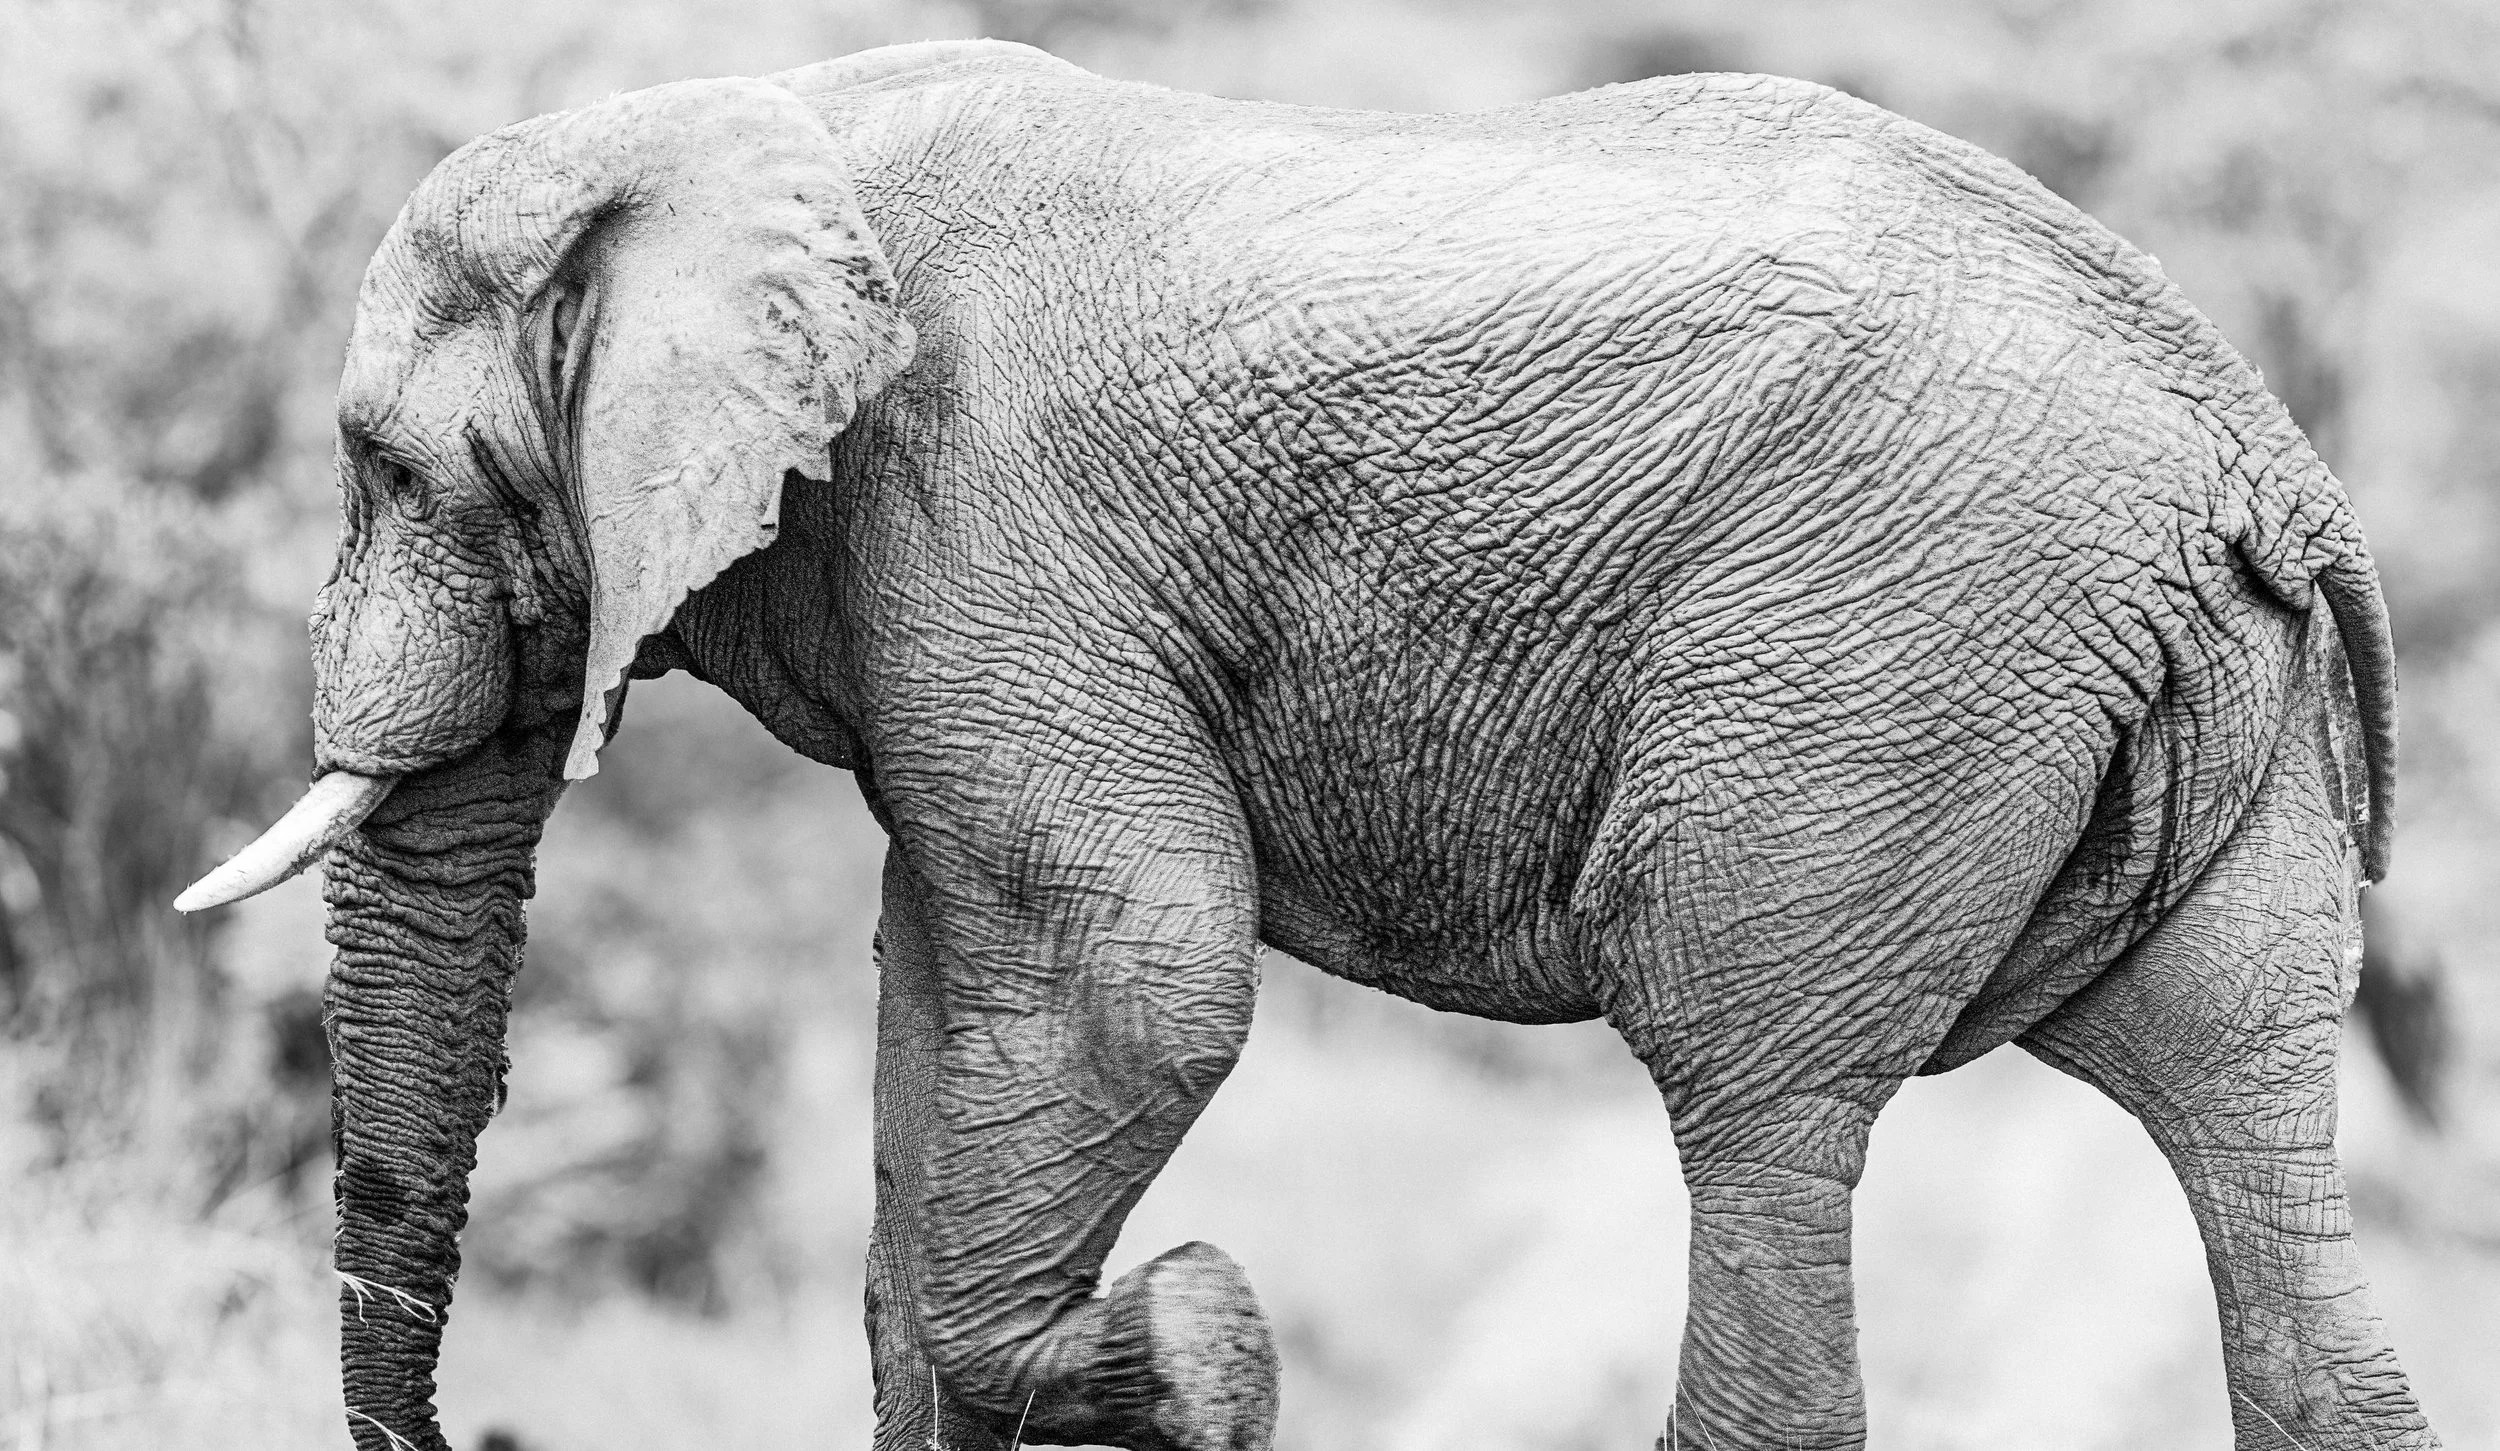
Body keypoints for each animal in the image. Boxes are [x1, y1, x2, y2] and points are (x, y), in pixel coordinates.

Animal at [175, 37, 2434, 1451]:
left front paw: (1205, 1348)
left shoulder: (982, 518)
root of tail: (2252, 445)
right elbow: (935, 1042)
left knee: (1756, 1101)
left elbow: (1146, 975)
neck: (732, 115)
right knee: (2250, 1138)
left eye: (387, 464)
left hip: (1868, 679)